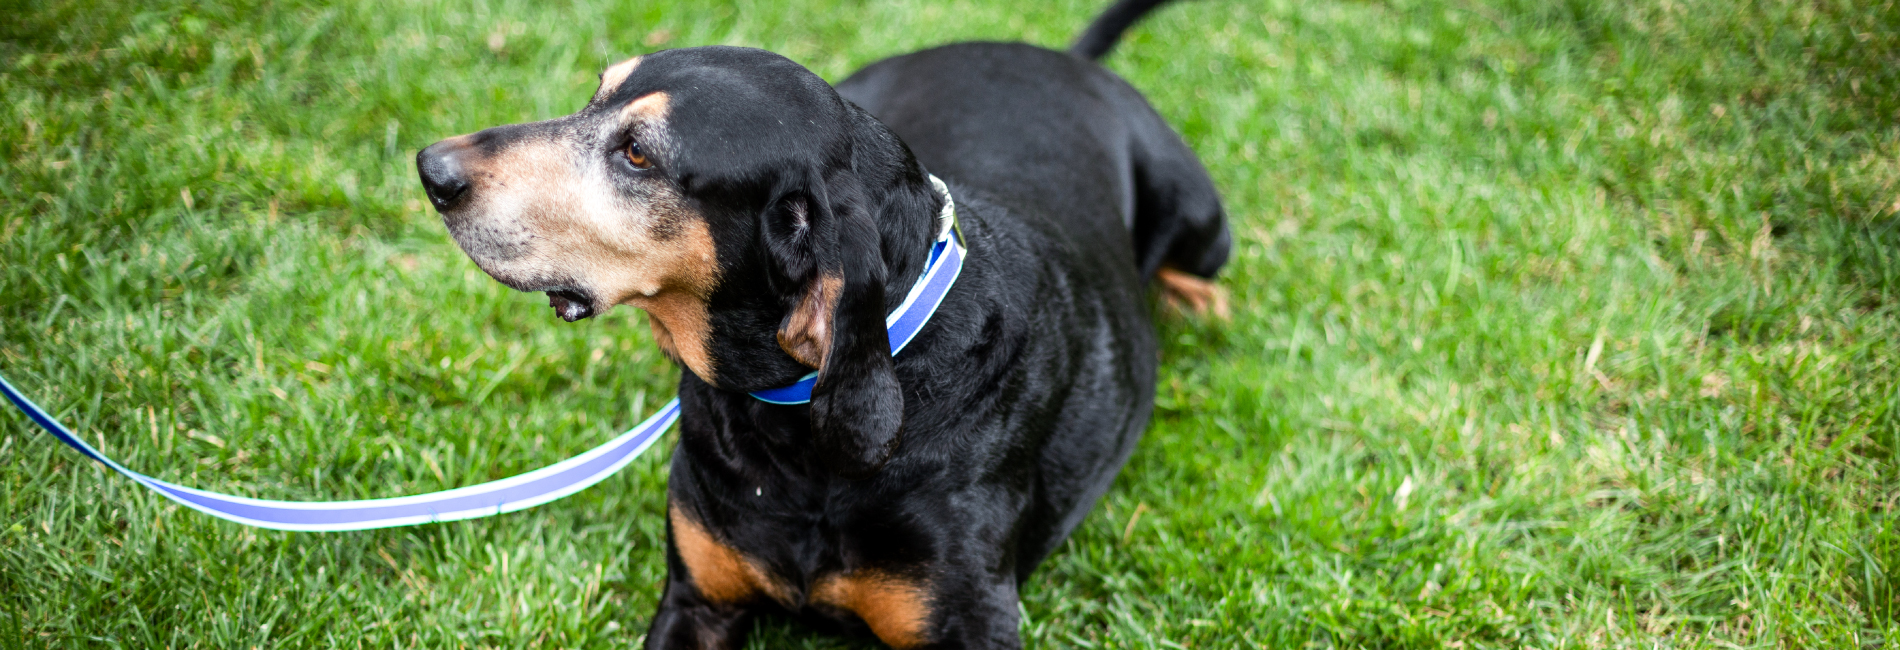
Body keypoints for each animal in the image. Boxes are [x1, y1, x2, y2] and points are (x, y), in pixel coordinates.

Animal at [416, 0, 1231, 646]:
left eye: (639, 154)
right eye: (595, 96)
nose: (431, 170)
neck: (789, 425)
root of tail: (1057, 57)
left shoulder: (969, 624)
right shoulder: (697, 600)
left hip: (1202, 218)